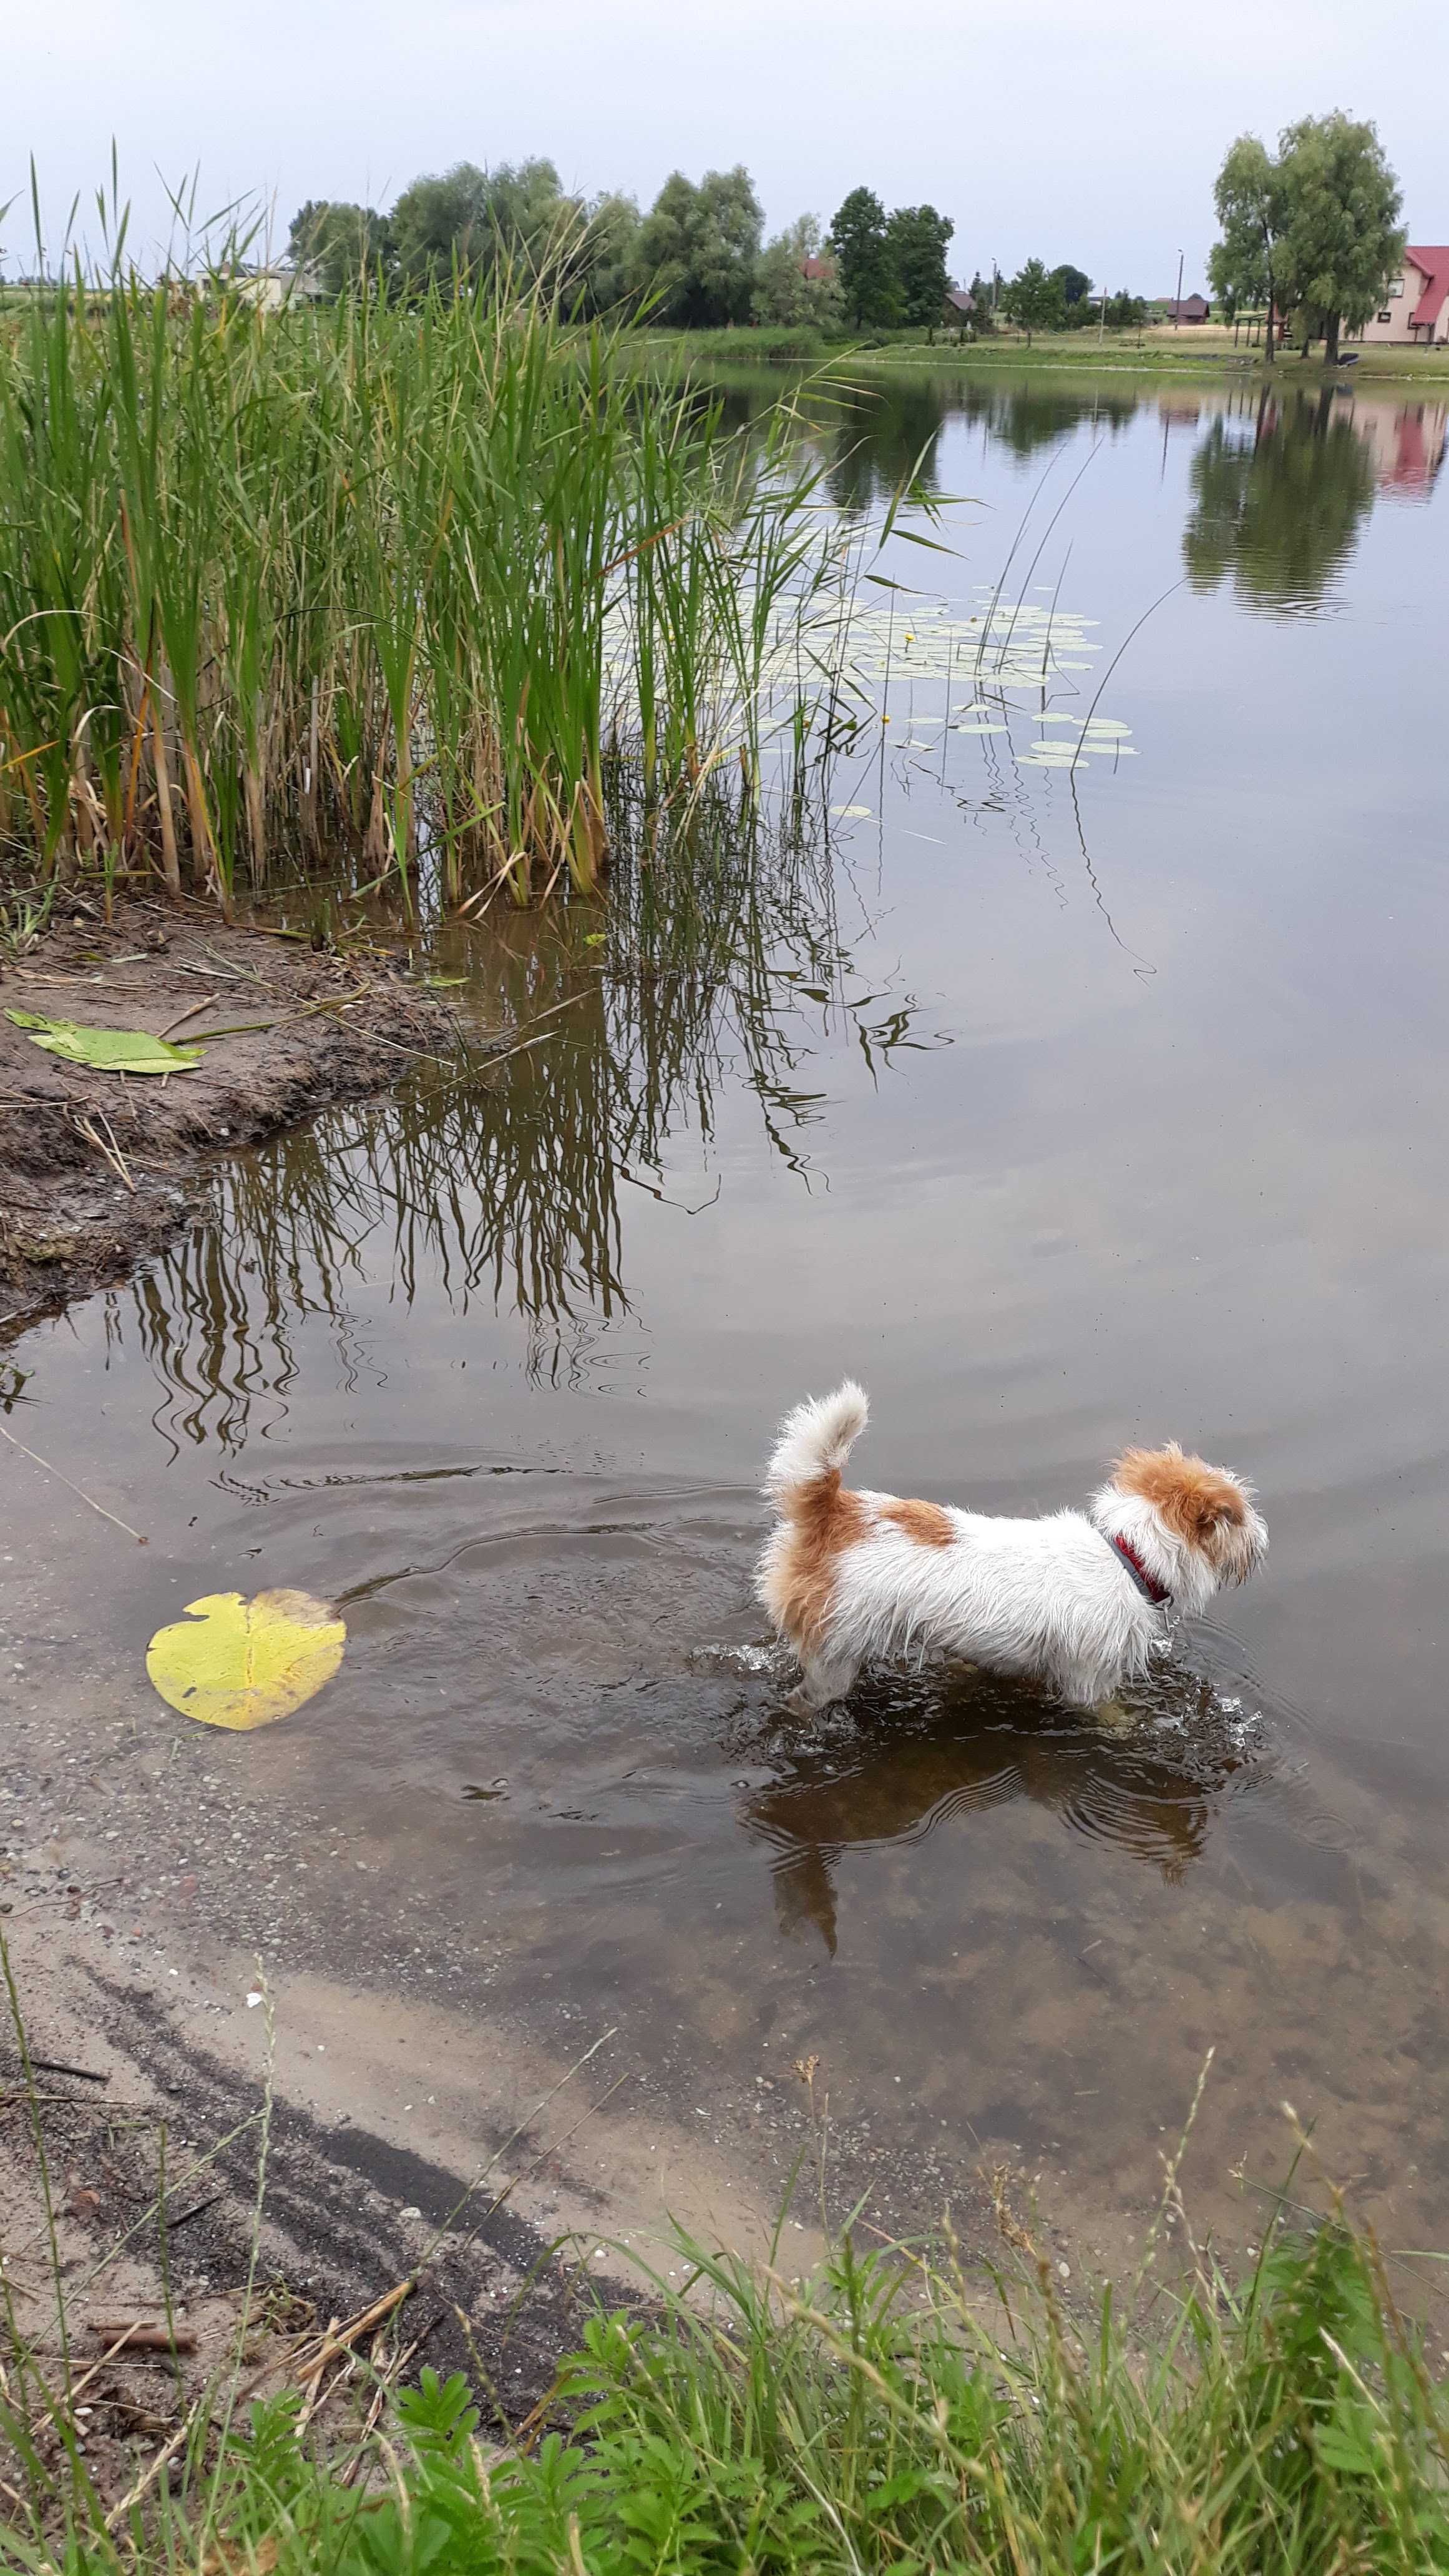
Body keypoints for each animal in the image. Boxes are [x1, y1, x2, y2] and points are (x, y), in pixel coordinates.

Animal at [748, 1380, 1258, 1720]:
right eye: (1242, 1515)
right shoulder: (1088, 1680)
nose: (1262, 1537)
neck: (1127, 1555)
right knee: (807, 1697)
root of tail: (834, 1512)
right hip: (834, 1656)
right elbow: (1108, 1716)